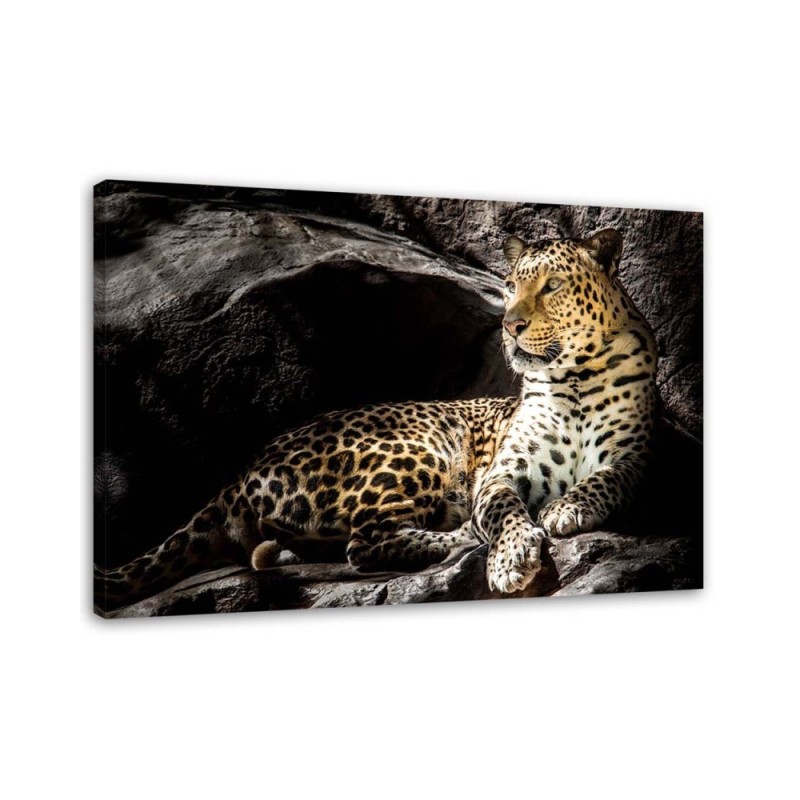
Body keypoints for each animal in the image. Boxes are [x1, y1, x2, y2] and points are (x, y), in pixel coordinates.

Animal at [94, 228, 657, 612]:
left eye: (553, 285)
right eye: (510, 286)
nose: (509, 325)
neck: (575, 376)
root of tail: (242, 470)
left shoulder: (635, 459)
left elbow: (607, 478)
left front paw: (569, 507)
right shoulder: (502, 472)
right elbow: (501, 510)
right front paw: (511, 556)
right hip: (418, 449)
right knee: (365, 545)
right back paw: (463, 536)